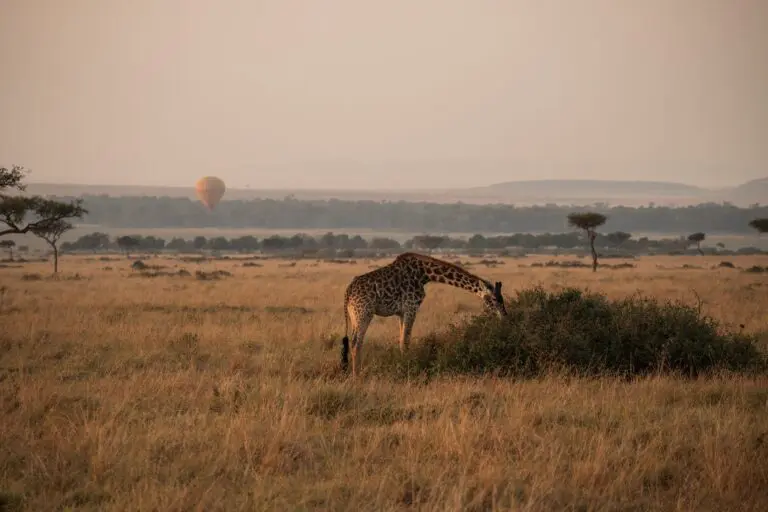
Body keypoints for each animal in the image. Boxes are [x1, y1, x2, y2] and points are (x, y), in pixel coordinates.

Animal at [340, 252, 507, 376]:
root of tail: (347, 292)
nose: (504, 316)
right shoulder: (411, 307)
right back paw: (357, 376)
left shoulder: (402, 312)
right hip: (364, 313)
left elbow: (401, 340)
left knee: (355, 342)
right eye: (494, 299)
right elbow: (406, 341)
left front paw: (403, 364)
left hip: (355, 315)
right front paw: (405, 368)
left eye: (502, 299)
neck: (425, 274)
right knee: (356, 342)